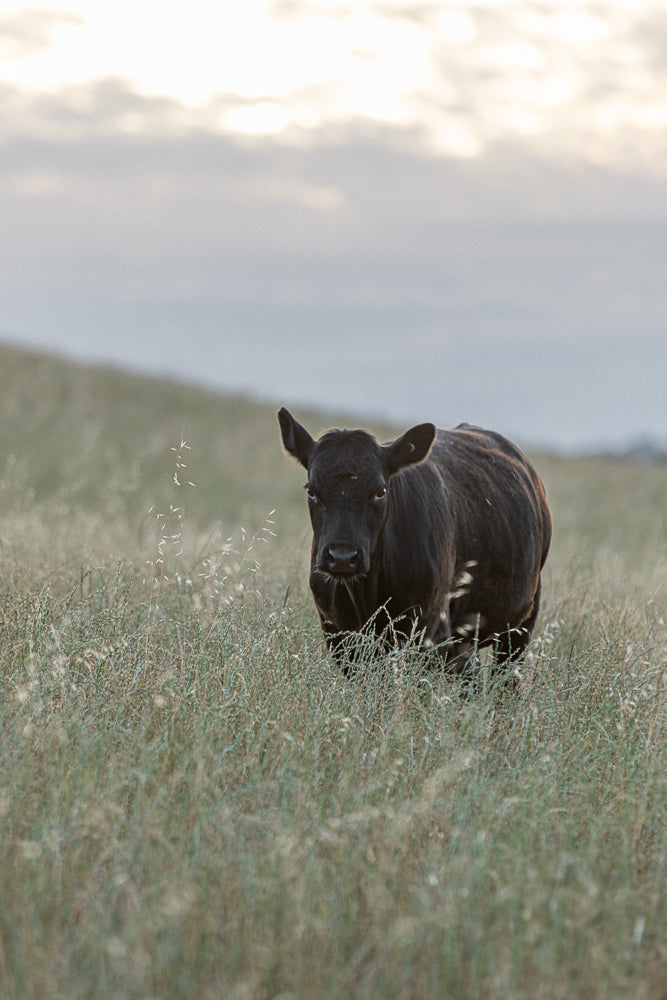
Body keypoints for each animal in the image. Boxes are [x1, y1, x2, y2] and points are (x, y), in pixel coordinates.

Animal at [278, 407, 552, 678]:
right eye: (311, 491)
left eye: (381, 491)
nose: (342, 557)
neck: (367, 595)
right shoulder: (338, 631)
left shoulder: (427, 631)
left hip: (520, 623)